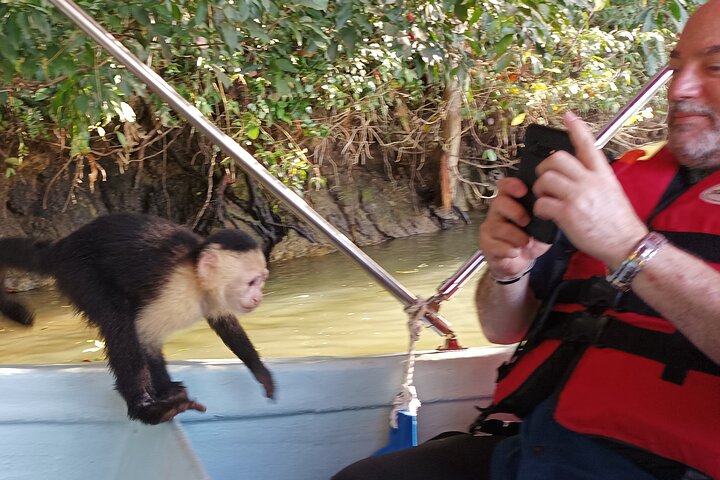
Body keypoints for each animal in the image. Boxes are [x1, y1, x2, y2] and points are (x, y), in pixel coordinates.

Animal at [0, 213, 274, 425]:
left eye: (262, 280)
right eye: (251, 282)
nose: (259, 297)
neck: (197, 277)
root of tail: (63, 245)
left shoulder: (215, 298)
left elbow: (227, 325)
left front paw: (260, 372)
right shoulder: (176, 290)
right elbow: (144, 335)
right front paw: (164, 392)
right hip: (79, 272)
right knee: (118, 320)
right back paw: (146, 409)